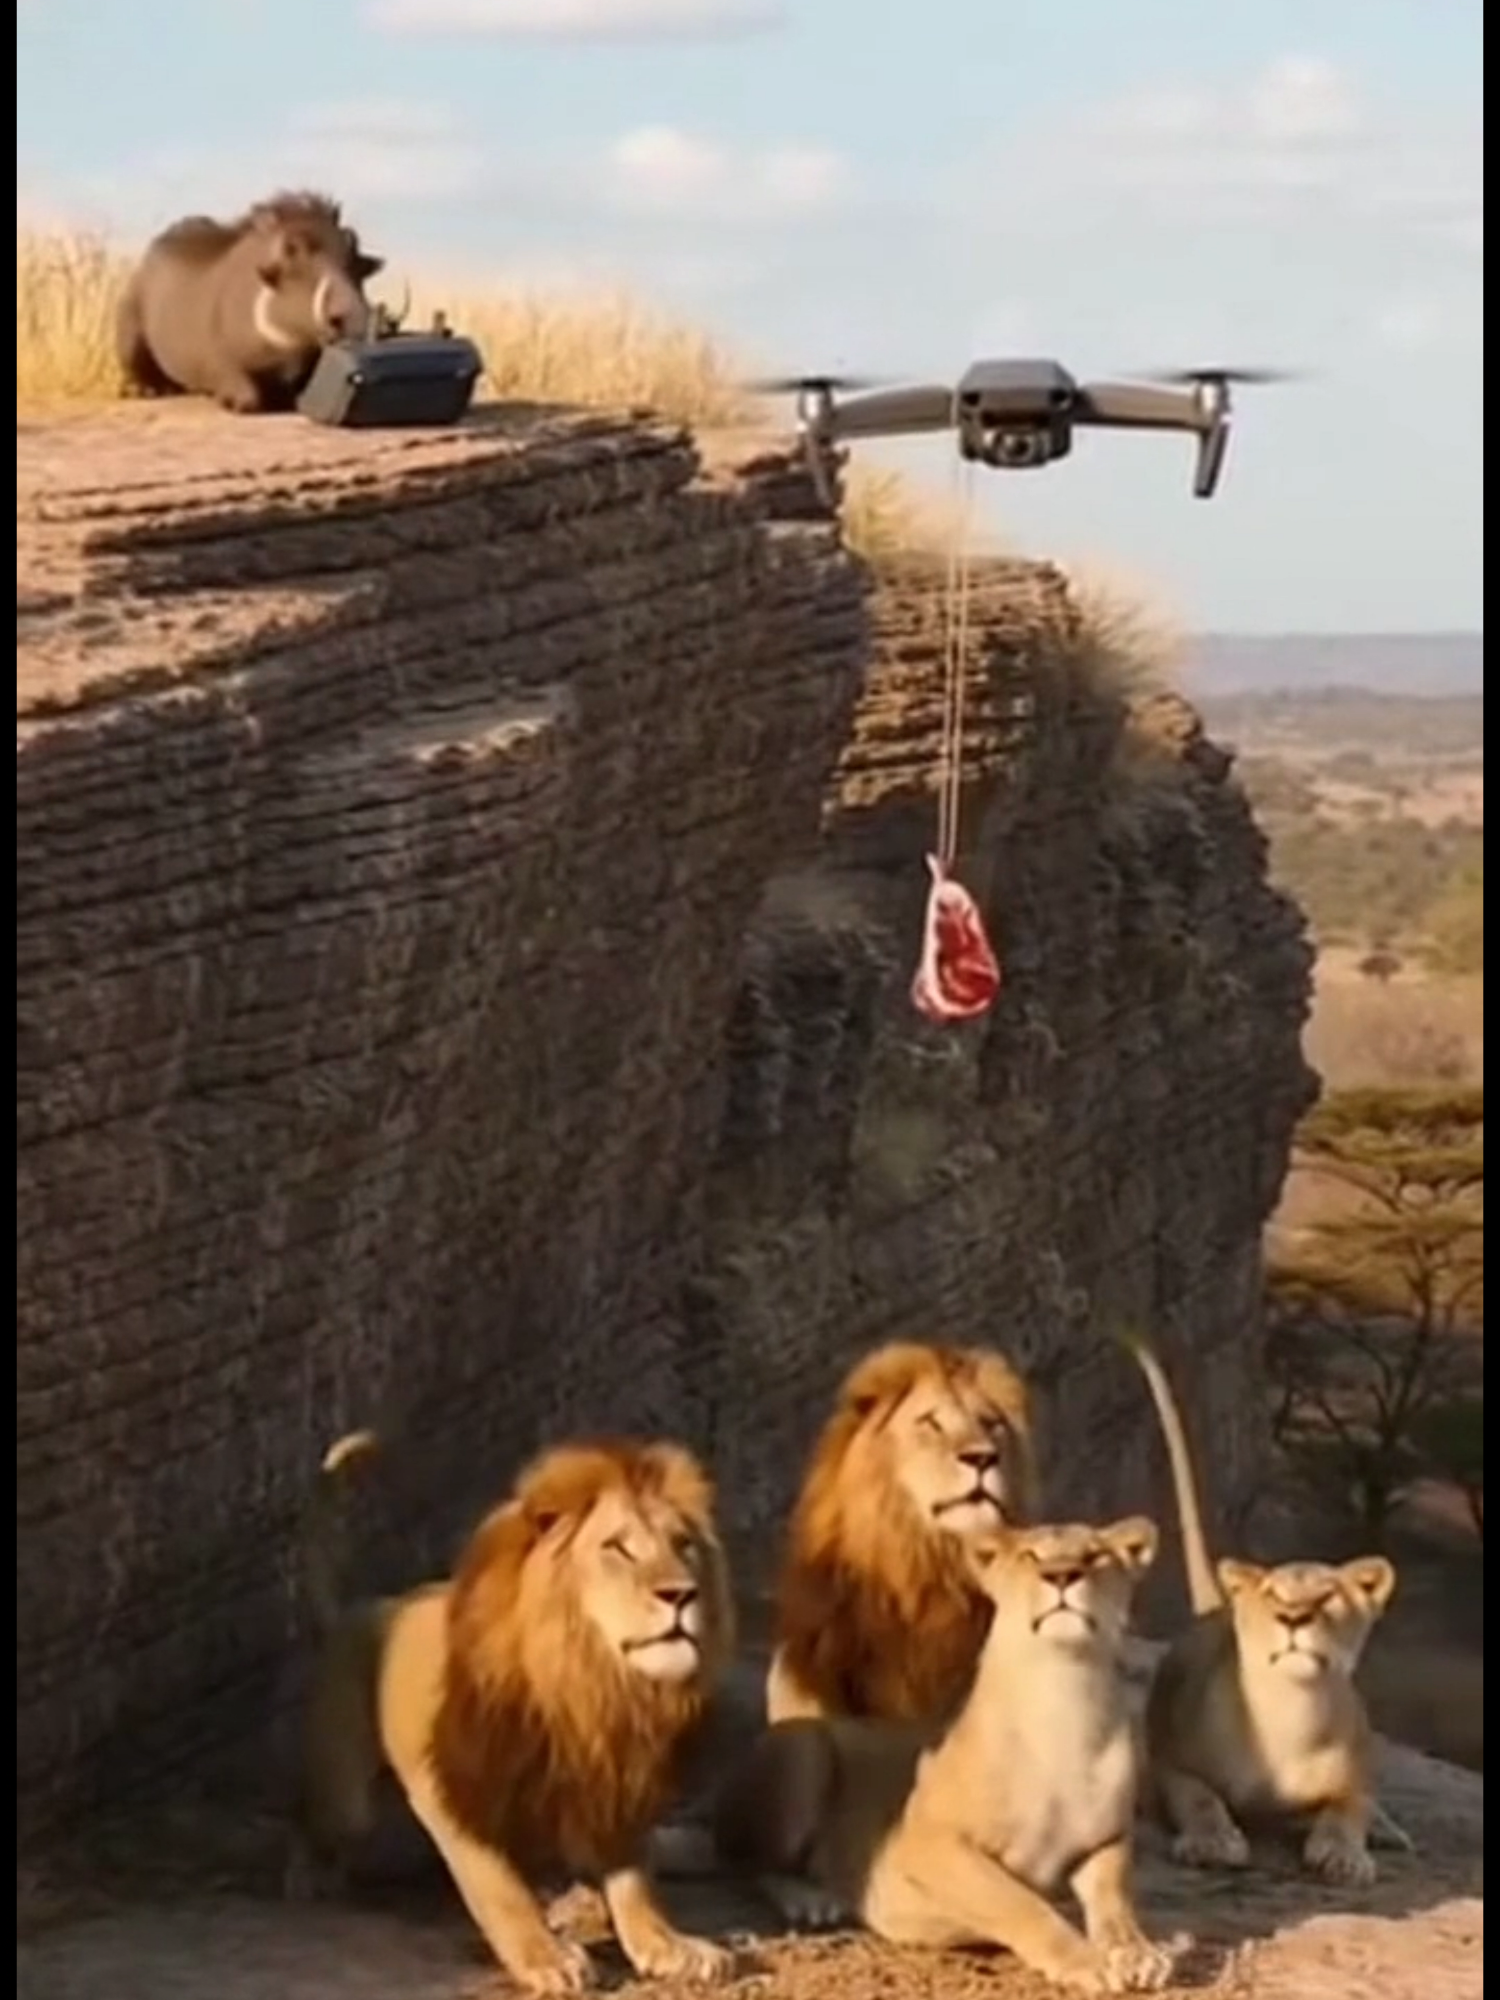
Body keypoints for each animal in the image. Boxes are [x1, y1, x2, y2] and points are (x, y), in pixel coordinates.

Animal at [289, 1430, 738, 1994]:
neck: (589, 1676)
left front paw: (668, 1945)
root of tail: (360, 1605)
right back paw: (312, 1876)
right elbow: (499, 1887)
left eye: (684, 1545)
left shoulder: (614, 1783)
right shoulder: (455, 1786)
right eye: (617, 1547)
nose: (682, 1594)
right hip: (348, 1799)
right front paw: (545, 1957)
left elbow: (635, 1879)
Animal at [712, 1515, 1182, 1995]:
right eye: (1030, 1555)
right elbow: (1020, 1902)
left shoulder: (1106, 1840)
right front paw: (1084, 1961)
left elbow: (1116, 1904)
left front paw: (1138, 1953)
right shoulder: (925, 1840)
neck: (1065, 1694)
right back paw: (812, 1900)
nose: (1062, 1576)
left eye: (1095, 1555)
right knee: (744, 1862)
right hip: (805, 1747)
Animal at [1120, 1327, 1411, 1885]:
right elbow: (1200, 1798)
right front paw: (1212, 1842)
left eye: (1327, 1596)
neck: (1288, 1715)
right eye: (1275, 1594)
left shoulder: (1350, 1779)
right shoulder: (1172, 1765)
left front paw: (1343, 1854)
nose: (1293, 1618)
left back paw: (1389, 1831)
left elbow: (1348, 1806)